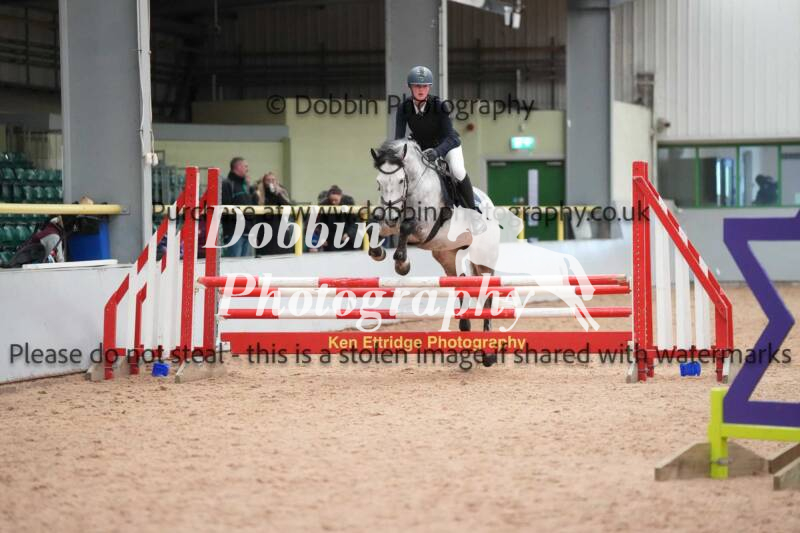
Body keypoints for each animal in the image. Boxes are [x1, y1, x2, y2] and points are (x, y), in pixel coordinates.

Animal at [368, 139, 497, 335]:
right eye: (378, 182)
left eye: (400, 180)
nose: (390, 217)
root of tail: (488, 200)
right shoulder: (388, 223)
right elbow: (372, 228)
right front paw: (378, 252)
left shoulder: (426, 228)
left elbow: (406, 227)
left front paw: (402, 263)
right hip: (448, 255)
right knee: (460, 282)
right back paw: (464, 324)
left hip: (484, 257)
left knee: (486, 291)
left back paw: (487, 333)